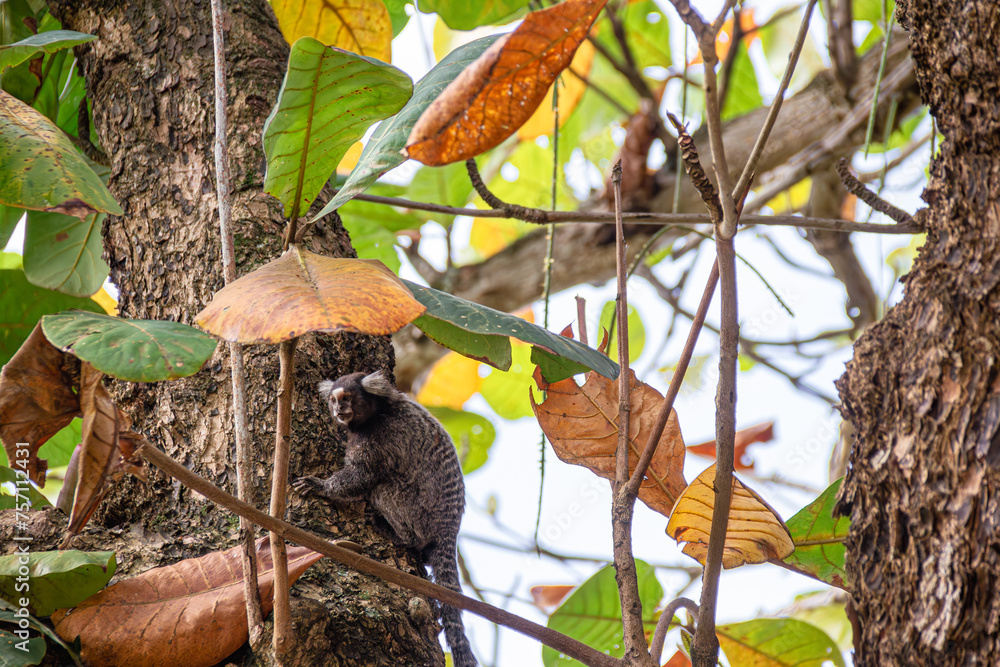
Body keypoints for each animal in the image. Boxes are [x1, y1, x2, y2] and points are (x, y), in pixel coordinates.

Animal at [292, 370, 474, 667]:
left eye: (346, 398)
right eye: (333, 400)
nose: (338, 410)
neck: (378, 413)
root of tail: (450, 525)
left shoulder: (380, 438)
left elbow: (363, 476)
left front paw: (322, 487)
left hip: (419, 512)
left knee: (382, 491)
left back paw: (400, 536)